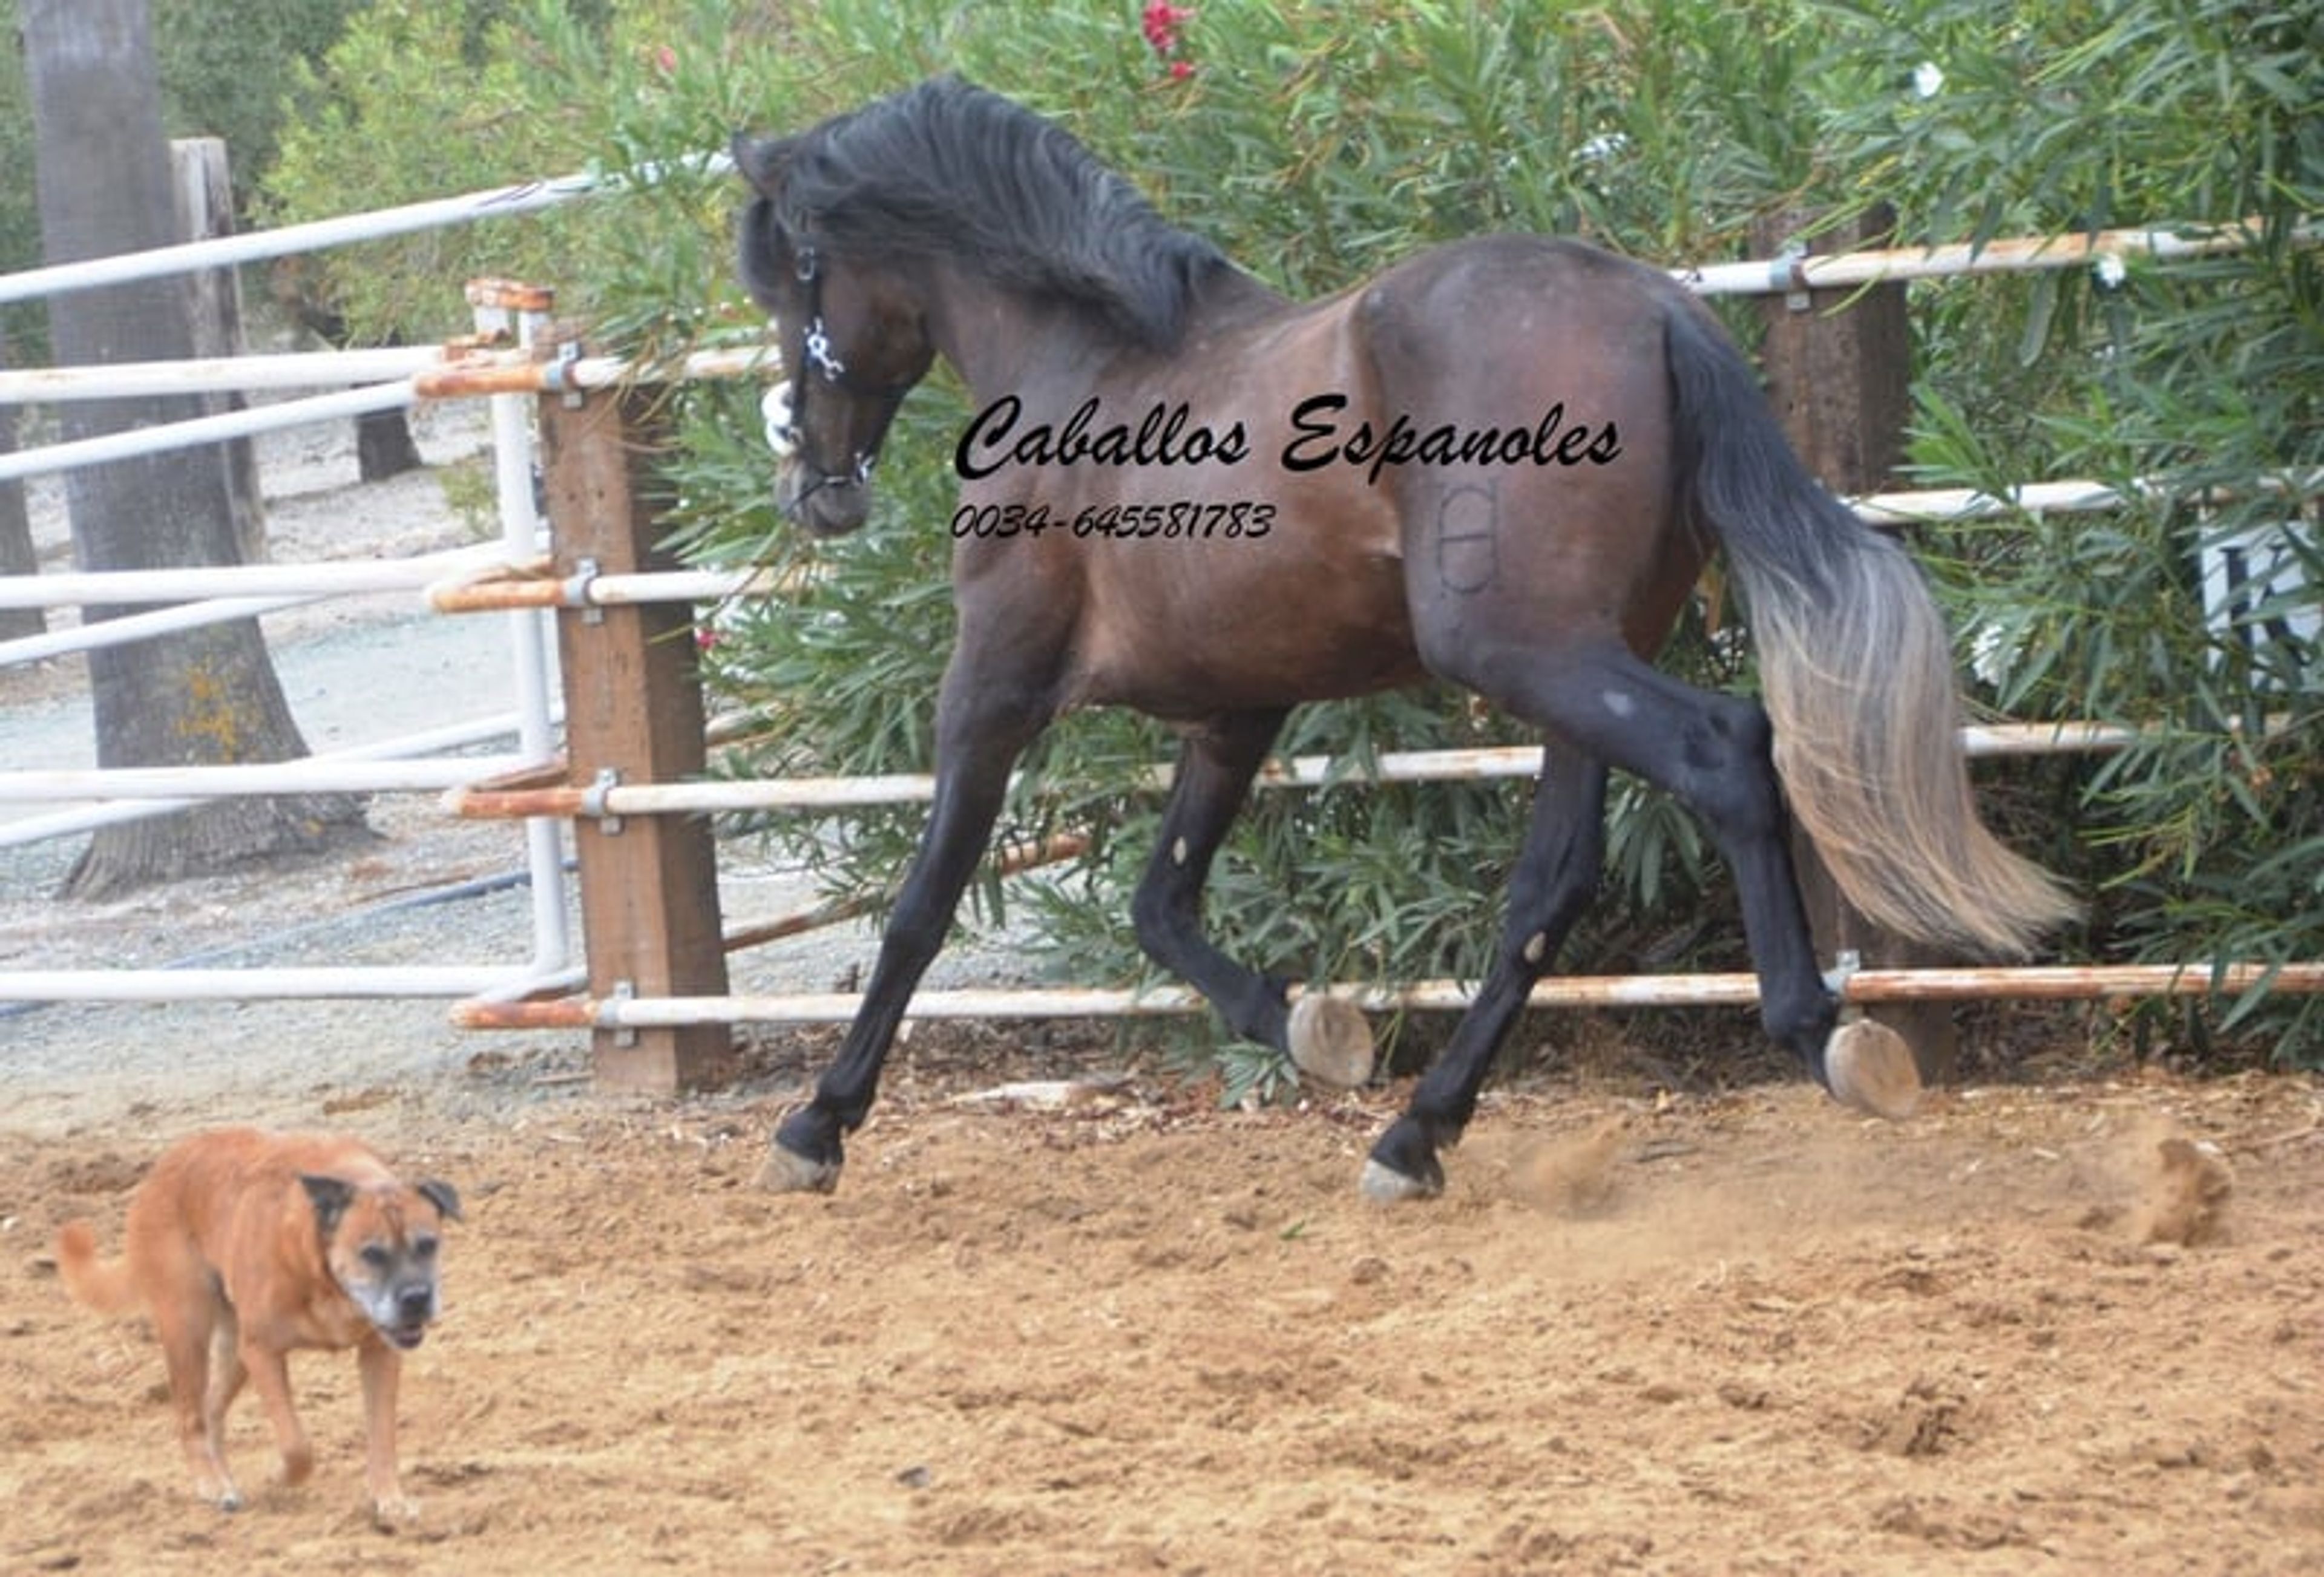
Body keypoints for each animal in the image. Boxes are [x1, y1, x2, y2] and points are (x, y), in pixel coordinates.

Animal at [730, 76, 2073, 1202]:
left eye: (789, 279)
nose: (813, 485)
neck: (1090, 366)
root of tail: (1652, 307)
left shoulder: (994, 684)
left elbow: (922, 908)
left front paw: (816, 1127)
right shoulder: (1236, 709)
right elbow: (1161, 905)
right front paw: (1314, 1027)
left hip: (1525, 652)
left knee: (1728, 752)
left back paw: (1827, 1036)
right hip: (1577, 660)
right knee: (1552, 882)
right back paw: (1416, 1134)